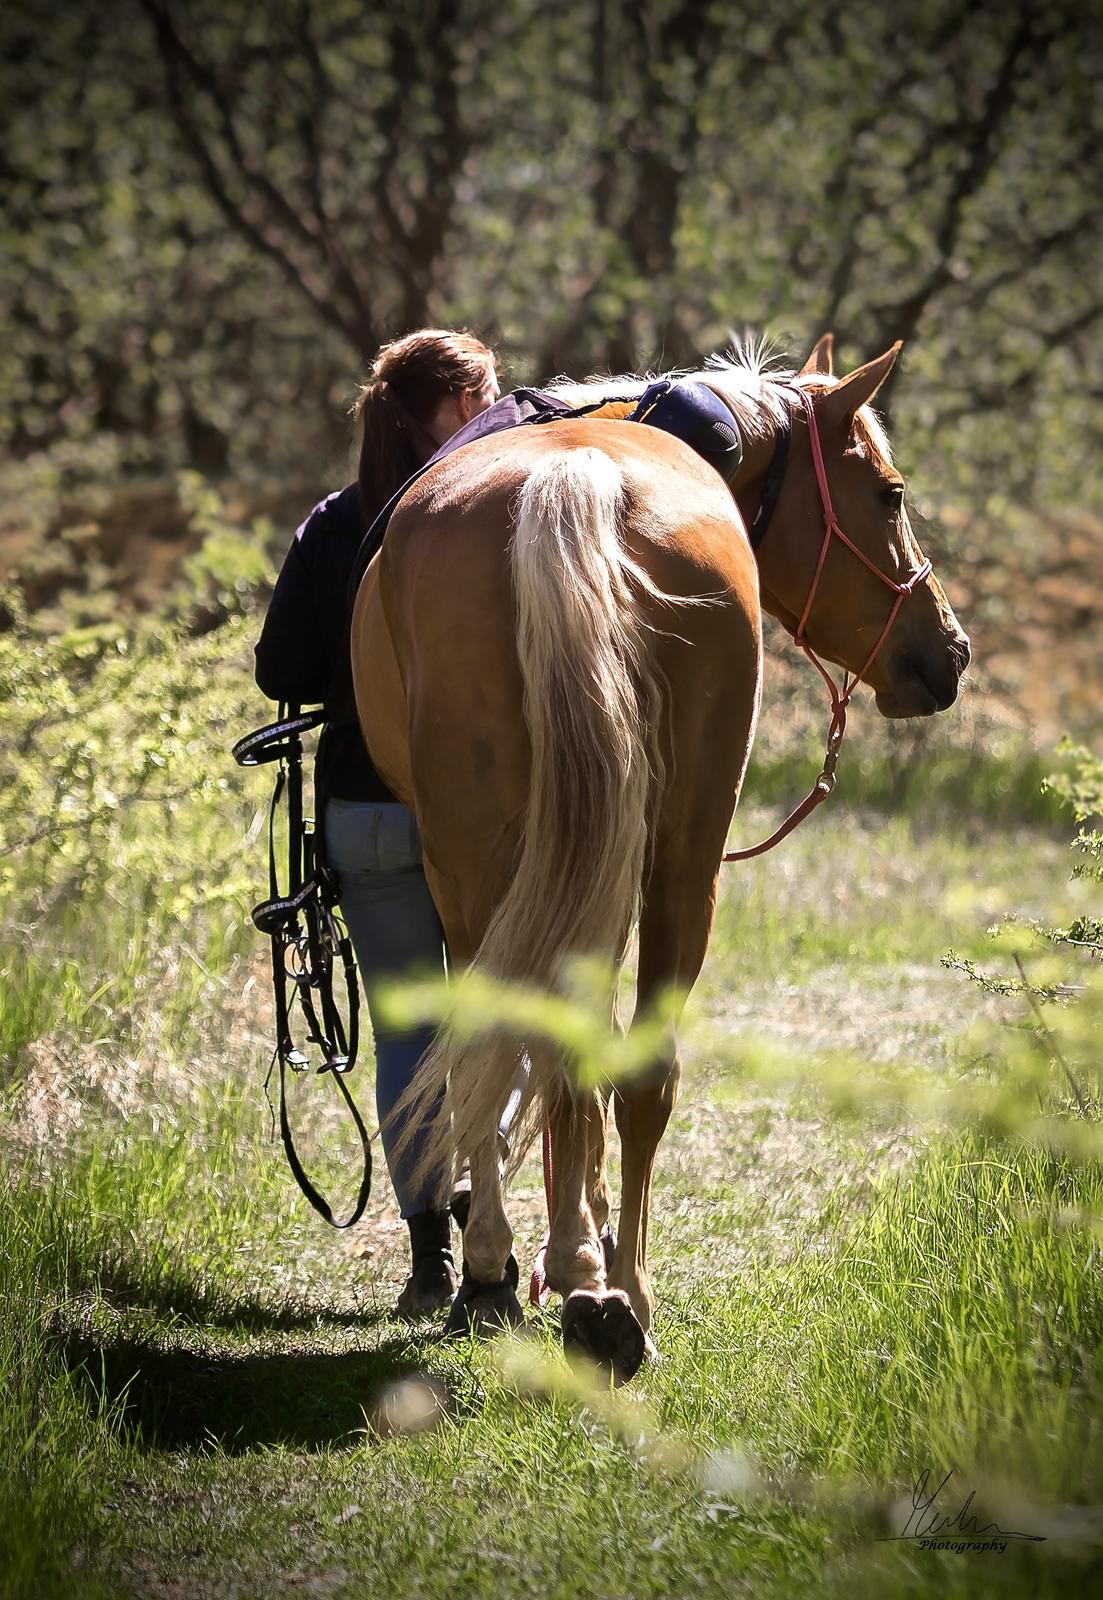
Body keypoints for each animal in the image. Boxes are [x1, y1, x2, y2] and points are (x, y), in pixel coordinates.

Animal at [348, 334, 966, 1376]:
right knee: (616, 1066)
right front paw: (584, 1254)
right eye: (888, 494)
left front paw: (562, 1252)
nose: (951, 653)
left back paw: (554, 1281)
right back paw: (596, 1290)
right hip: (664, 861)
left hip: (509, 864)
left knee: (523, 1043)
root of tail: (575, 482)